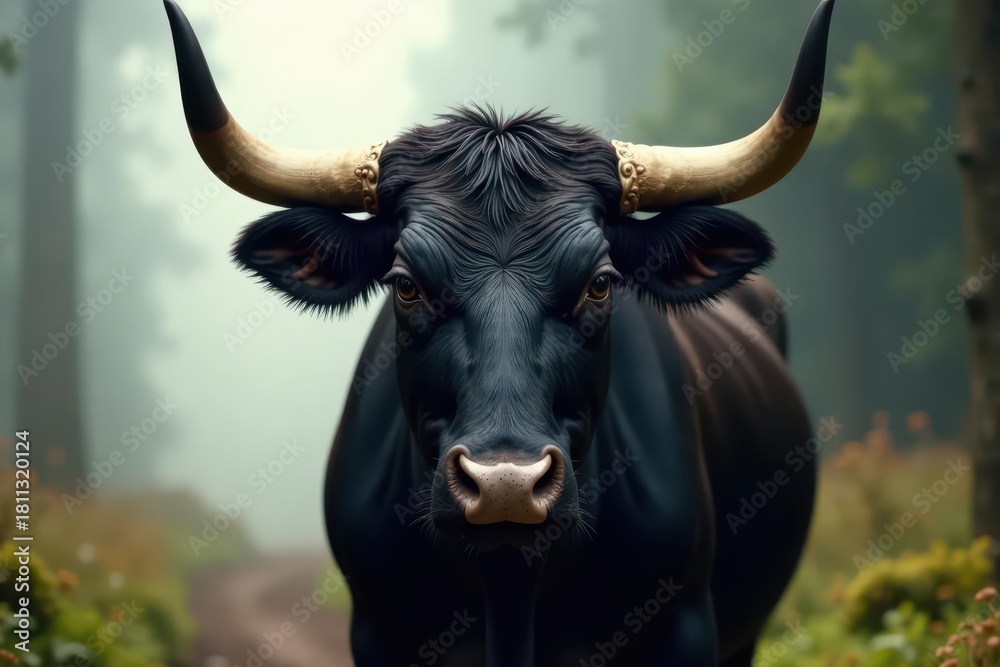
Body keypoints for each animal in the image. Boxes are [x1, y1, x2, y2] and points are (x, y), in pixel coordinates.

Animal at [163, 1, 835, 664]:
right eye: (406, 285)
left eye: (600, 284)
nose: (505, 486)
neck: (510, 595)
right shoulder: (375, 633)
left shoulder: (686, 628)